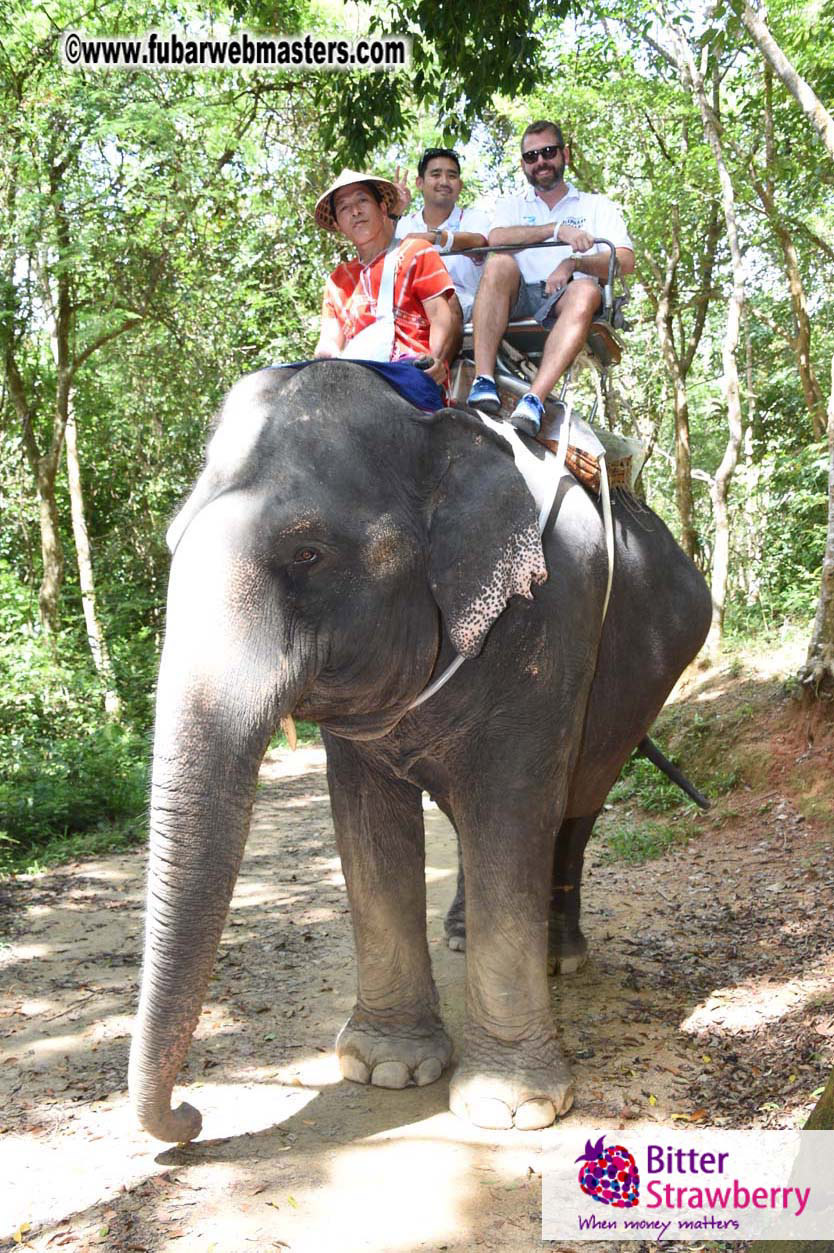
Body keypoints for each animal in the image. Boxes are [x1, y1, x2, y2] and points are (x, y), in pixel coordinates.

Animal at [128, 360, 712, 1143]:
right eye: (170, 545)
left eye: (308, 554)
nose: (192, 1115)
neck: (432, 427)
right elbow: (369, 827)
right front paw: (387, 1069)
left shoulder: (548, 620)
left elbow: (514, 810)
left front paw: (508, 1108)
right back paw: (463, 934)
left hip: (643, 682)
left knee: (577, 806)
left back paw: (560, 956)